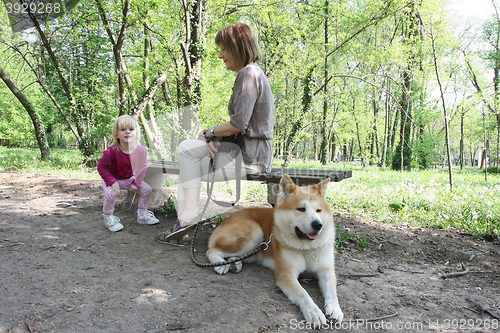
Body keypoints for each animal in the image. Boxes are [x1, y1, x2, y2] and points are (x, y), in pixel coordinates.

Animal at [206, 175, 344, 326]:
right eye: (301, 209)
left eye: (318, 210)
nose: (318, 225)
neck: (306, 247)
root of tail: (227, 218)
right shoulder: (287, 274)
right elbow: (303, 294)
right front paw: (314, 312)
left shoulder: (326, 270)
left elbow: (332, 291)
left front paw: (335, 309)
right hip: (255, 233)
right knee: (212, 251)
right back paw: (221, 265)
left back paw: (235, 263)